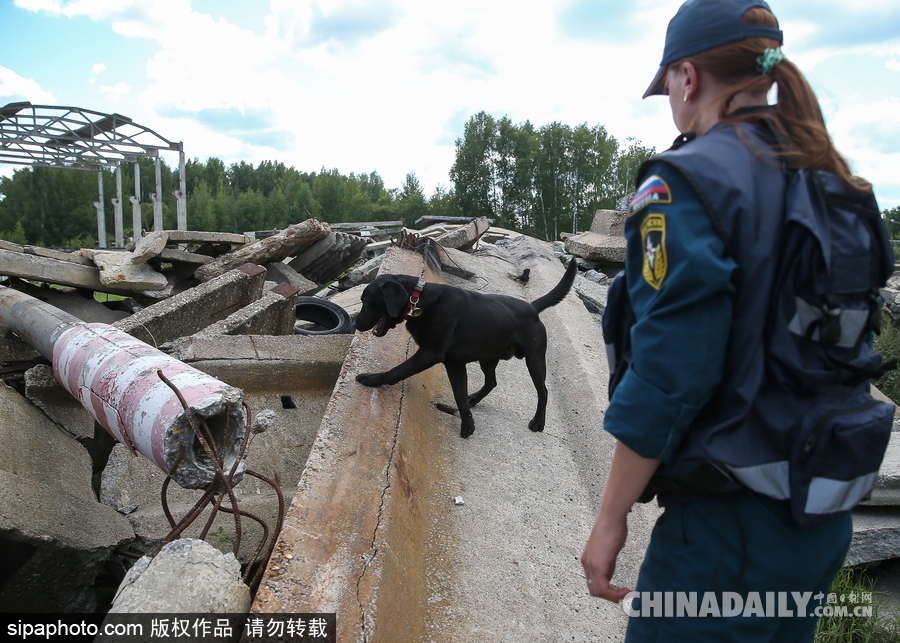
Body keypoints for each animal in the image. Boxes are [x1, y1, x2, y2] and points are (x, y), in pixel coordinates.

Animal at [354, 260, 576, 440]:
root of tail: (532, 307)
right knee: (491, 382)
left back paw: (539, 422)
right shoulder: (455, 363)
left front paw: (373, 378)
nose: (354, 323)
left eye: (367, 302)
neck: (418, 300)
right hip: (488, 357)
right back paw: (475, 398)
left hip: (534, 359)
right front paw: (468, 424)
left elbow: (397, 371)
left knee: (543, 391)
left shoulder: (429, 354)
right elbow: (460, 396)